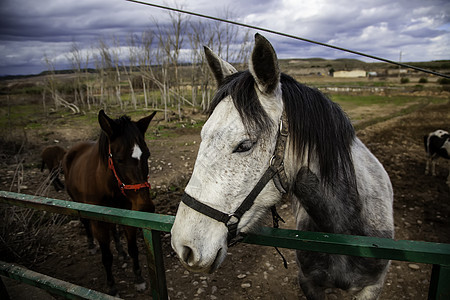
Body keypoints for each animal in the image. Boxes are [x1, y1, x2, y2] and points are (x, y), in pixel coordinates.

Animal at [62, 109, 156, 296]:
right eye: (119, 159)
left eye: (147, 155)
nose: (146, 206)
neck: (107, 184)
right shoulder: (98, 222)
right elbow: (106, 256)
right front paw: (112, 286)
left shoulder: (127, 215)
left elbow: (133, 249)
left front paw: (139, 279)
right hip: (77, 202)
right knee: (85, 222)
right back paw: (91, 245)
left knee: (113, 228)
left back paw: (121, 251)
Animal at [172, 33, 394, 300]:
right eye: (202, 135)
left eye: (244, 145)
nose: (183, 246)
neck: (346, 235)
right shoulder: (309, 283)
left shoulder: (373, 287)